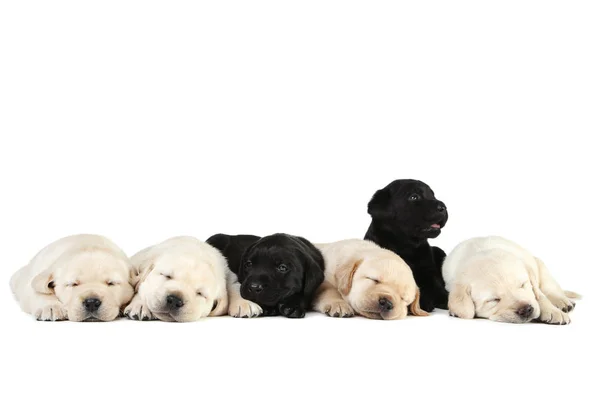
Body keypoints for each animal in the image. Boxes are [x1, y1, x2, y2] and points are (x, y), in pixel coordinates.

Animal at [364, 179, 448, 312]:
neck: (407, 247)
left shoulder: (429, 271)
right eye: (414, 197)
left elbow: (437, 286)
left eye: (433, 195)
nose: (443, 207)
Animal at [442, 234, 580, 324]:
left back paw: (563, 302)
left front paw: (553, 312)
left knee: (550, 288)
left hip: (540, 265)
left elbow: (539, 296)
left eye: (522, 285)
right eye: (494, 300)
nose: (526, 310)